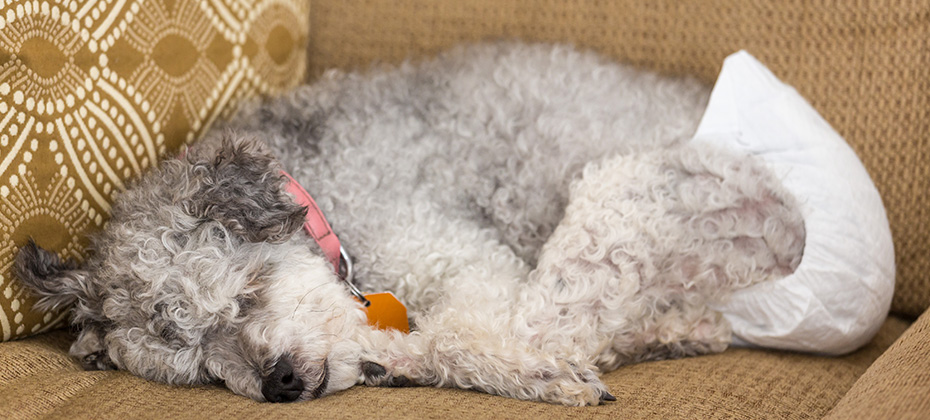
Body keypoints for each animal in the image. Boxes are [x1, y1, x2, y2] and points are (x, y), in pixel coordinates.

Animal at [14, 43, 800, 406]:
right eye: (202, 370)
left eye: (246, 297)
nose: (280, 384)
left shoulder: (457, 254)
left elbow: (458, 335)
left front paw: (541, 370)